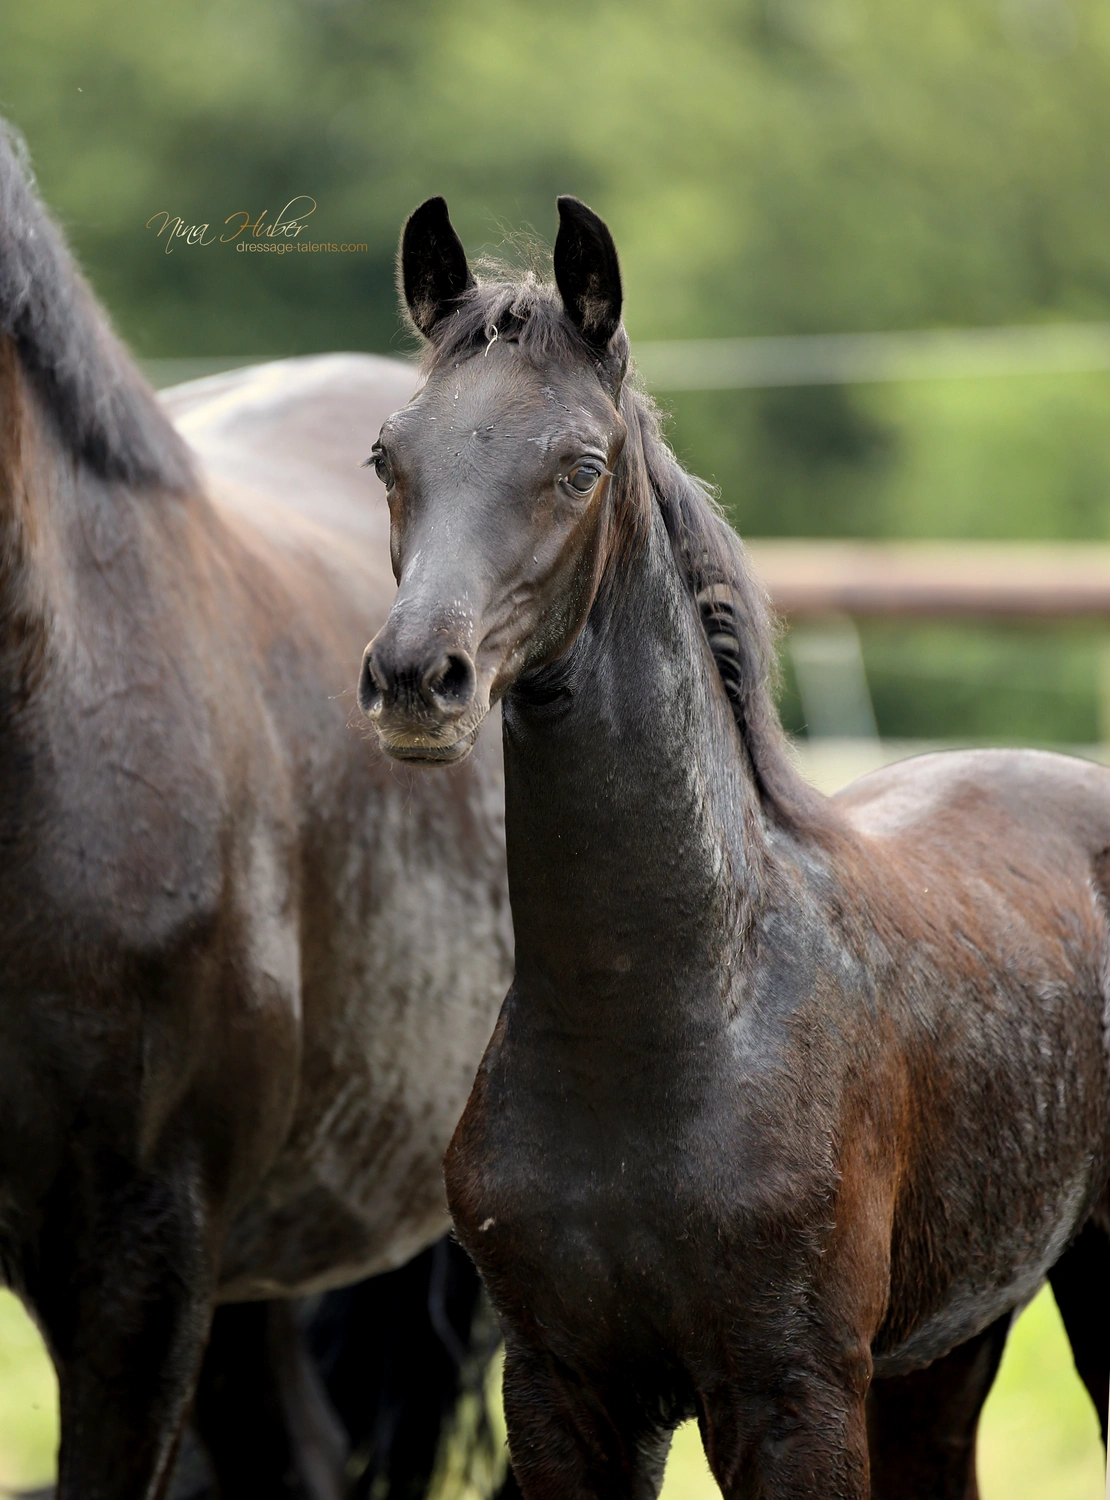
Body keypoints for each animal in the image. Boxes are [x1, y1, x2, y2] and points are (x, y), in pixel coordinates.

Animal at [357, 193, 1110, 1499]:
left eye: (580, 466)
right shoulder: (562, 1395)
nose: (415, 679)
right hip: (941, 1352)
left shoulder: (790, 1394)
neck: (668, 1022)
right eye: (388, 456)